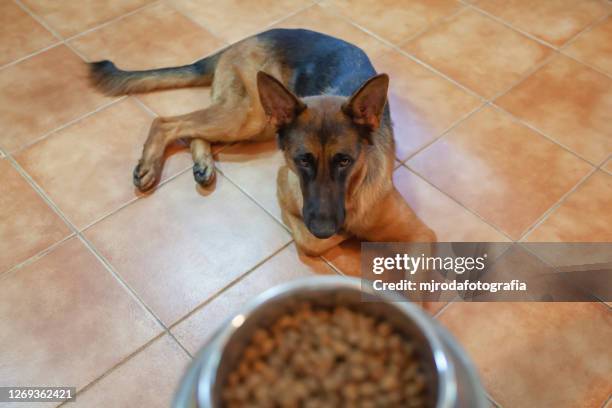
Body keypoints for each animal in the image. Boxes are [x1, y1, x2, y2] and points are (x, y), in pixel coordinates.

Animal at [89, 28, 436, 255]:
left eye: (345, 161)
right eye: (303, 160)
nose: (325, 226)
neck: (352, 192)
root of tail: (246, 38)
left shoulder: (422, 235)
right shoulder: (285, 183)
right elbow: (313, 242)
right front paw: (342, 237)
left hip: (254, 123)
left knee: (192, 130)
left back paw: (202, 163)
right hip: (250, 116)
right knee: (167, 122)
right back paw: (150, 165)